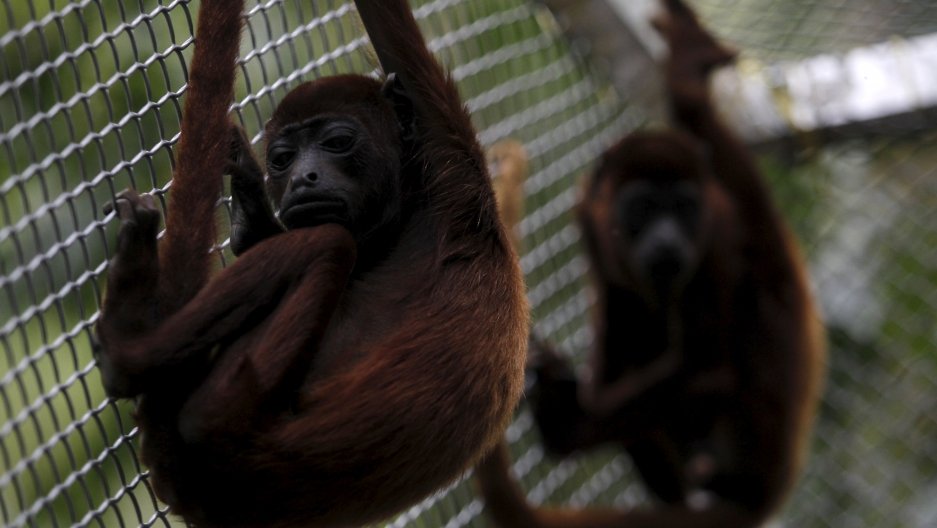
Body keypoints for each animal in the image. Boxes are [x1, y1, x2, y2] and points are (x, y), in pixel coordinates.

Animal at [93, 0, 528, 526]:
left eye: (337, 143)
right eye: (283, 158)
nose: (303, 177)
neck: (407, 214)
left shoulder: (451, 154)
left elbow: (392, 32)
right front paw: (251, 206)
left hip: (226, 408)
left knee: (328, 244)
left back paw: (126, 347)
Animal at [475, 1, 825, 527]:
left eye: (682, 209)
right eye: (642, 208)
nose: (667, 241)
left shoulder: (716, 236)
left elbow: (707, 368)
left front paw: (568, 426)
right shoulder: (589, 217)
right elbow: (617, 341)